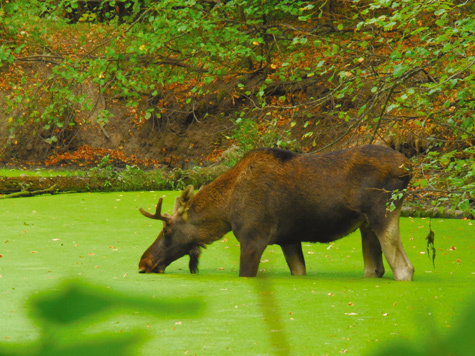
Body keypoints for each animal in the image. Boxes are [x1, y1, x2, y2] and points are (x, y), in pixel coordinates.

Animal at [139, 145, 414, 280]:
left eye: (167, 229)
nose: (144, 263)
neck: (227, 211)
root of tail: (409, 167)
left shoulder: (253, 239)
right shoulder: (289, 240)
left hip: (383, 213)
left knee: (404, 269)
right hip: (366, 225)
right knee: (375, 269)